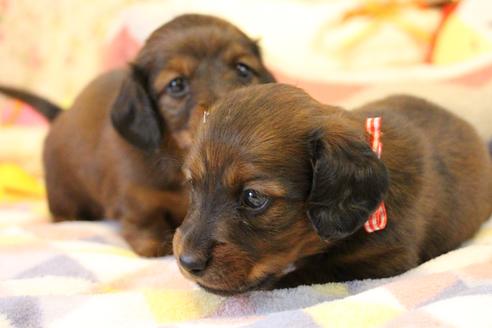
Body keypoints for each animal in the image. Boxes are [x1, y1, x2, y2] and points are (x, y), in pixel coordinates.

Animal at [0, 14, 272, 256]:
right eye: (176, 84)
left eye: (243, 69)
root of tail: (62, 114)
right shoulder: (135, 198)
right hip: (63, 191)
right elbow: (145, 220)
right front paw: (154, 242)